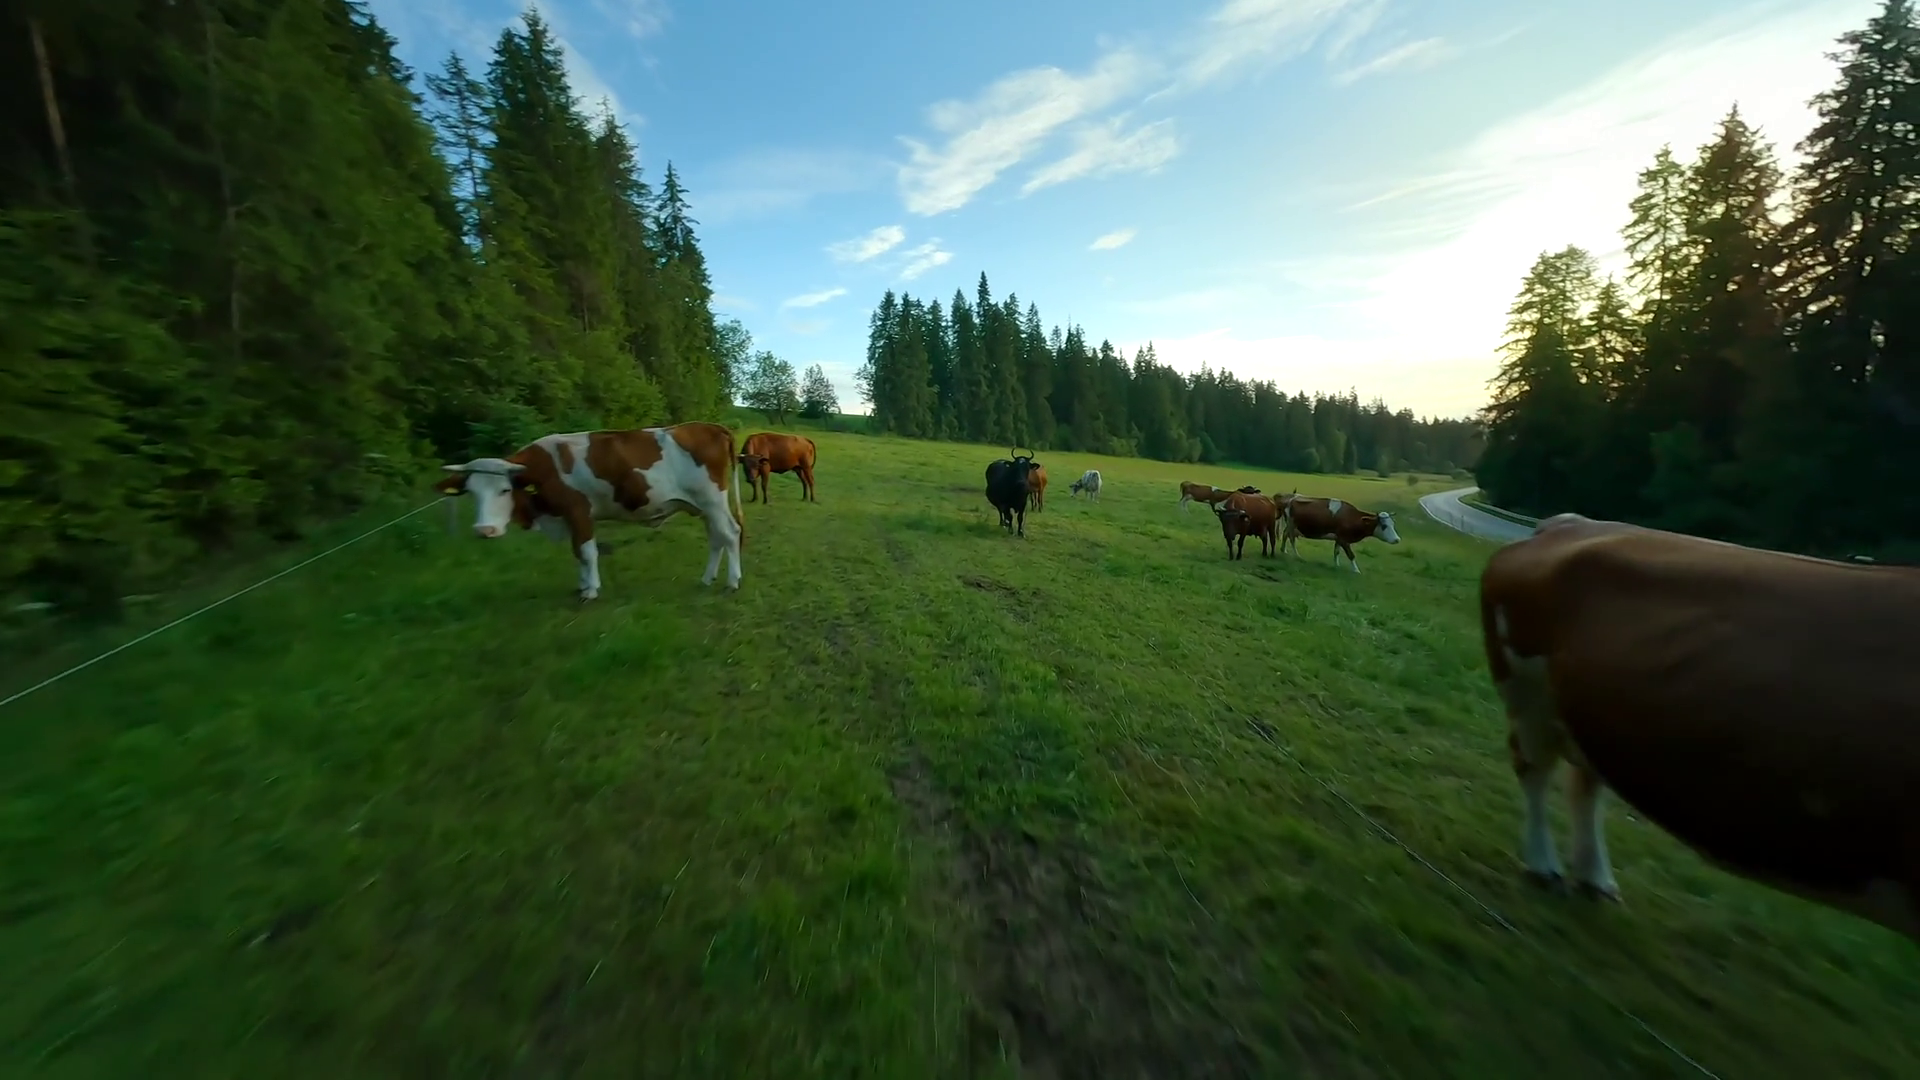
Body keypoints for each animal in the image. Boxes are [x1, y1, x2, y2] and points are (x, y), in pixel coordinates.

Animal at [434, 423, 744, 599]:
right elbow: (577, 553)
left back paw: (732, 582)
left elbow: (586, 551)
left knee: (730, 534)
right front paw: (582, 586)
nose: (484, 530)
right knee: (716, 538)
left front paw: (592, 590)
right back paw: (707, 579)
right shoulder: (568, 517)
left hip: (712, 501)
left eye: (504, 490)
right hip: (703, 507)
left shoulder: (579, 511)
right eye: (472, 493)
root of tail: (707, 425)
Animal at [1480, 512, 1920, 944]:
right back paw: (1543, 868)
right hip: (1527, 695)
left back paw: (1595, 881)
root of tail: (1568, 522)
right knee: (1535, 772)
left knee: (1585, 785)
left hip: (1586, 712)